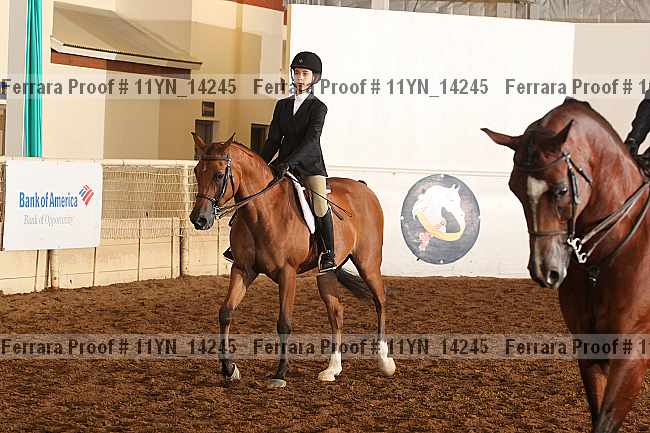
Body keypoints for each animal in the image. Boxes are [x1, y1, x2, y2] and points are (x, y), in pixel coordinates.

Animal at [189, 132, 396, 388]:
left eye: (219, 175)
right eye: (197, 172)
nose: (199, 219)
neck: (263, 212)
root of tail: (364, 188)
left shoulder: (287, 273)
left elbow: (284, 323)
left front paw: (280, 374)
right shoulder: (242, 269)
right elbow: (226, 312)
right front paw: (229, 369)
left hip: (368, 263)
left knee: (380, 301)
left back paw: (385, 361)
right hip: (325, 272)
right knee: (336, 311)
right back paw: (332, 369)